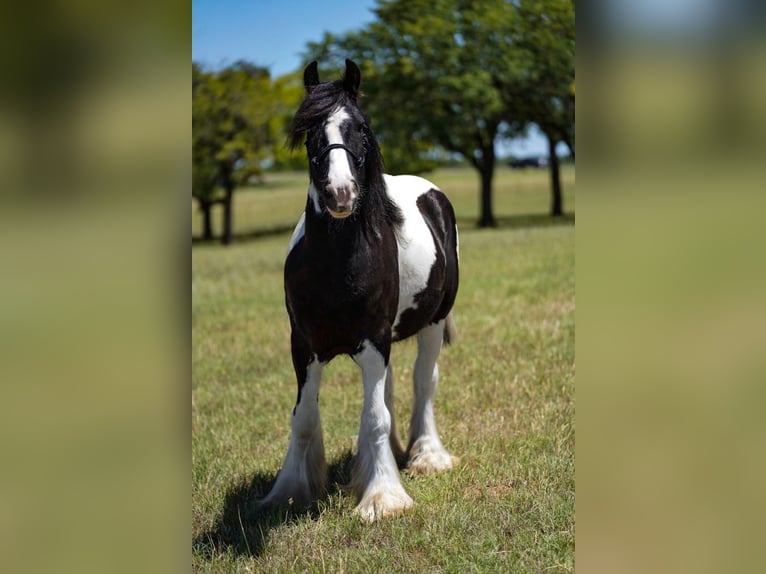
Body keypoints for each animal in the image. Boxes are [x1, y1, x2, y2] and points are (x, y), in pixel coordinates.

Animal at [260, 59, 460, 520]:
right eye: (310, 132)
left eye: (361, 129)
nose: (340, 193)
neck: (336, 266)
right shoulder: (304, 345)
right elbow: (304, 418)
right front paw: (290, 490)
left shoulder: (372, 341)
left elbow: (375, 417)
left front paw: (383, 498)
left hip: (432, 324)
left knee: (424, 382)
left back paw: (427, 456)